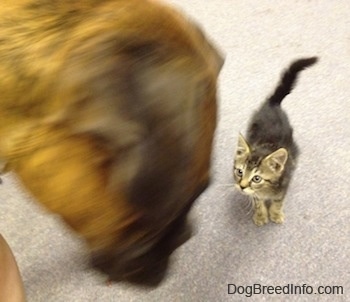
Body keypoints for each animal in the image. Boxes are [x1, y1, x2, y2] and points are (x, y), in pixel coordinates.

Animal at [234, 57, 318, 226]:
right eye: (240, 172)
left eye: (257, 178)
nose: (241, 186)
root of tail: (273, 103)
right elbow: (258, 202)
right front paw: (261, 215)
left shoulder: (283, 186)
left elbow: (278, 201)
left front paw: (275, 214)